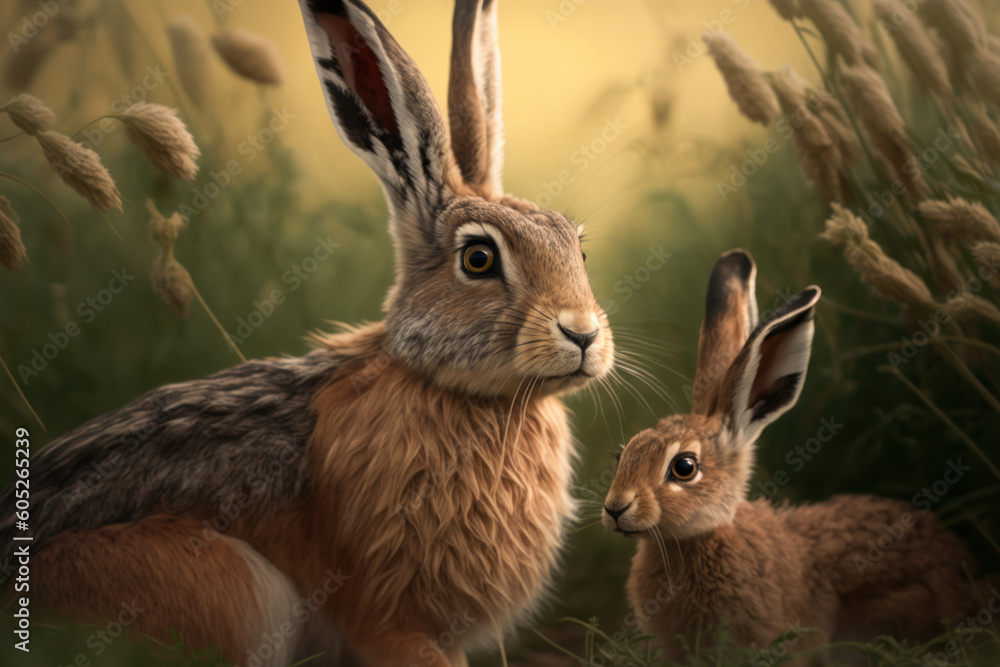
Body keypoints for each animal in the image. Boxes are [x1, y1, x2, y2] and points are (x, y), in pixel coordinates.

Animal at [0, 1, 614, 665]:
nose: (583, 336)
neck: (452, 390)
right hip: (234, 589)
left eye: (578, 250)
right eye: (478, 259)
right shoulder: (389, 620)